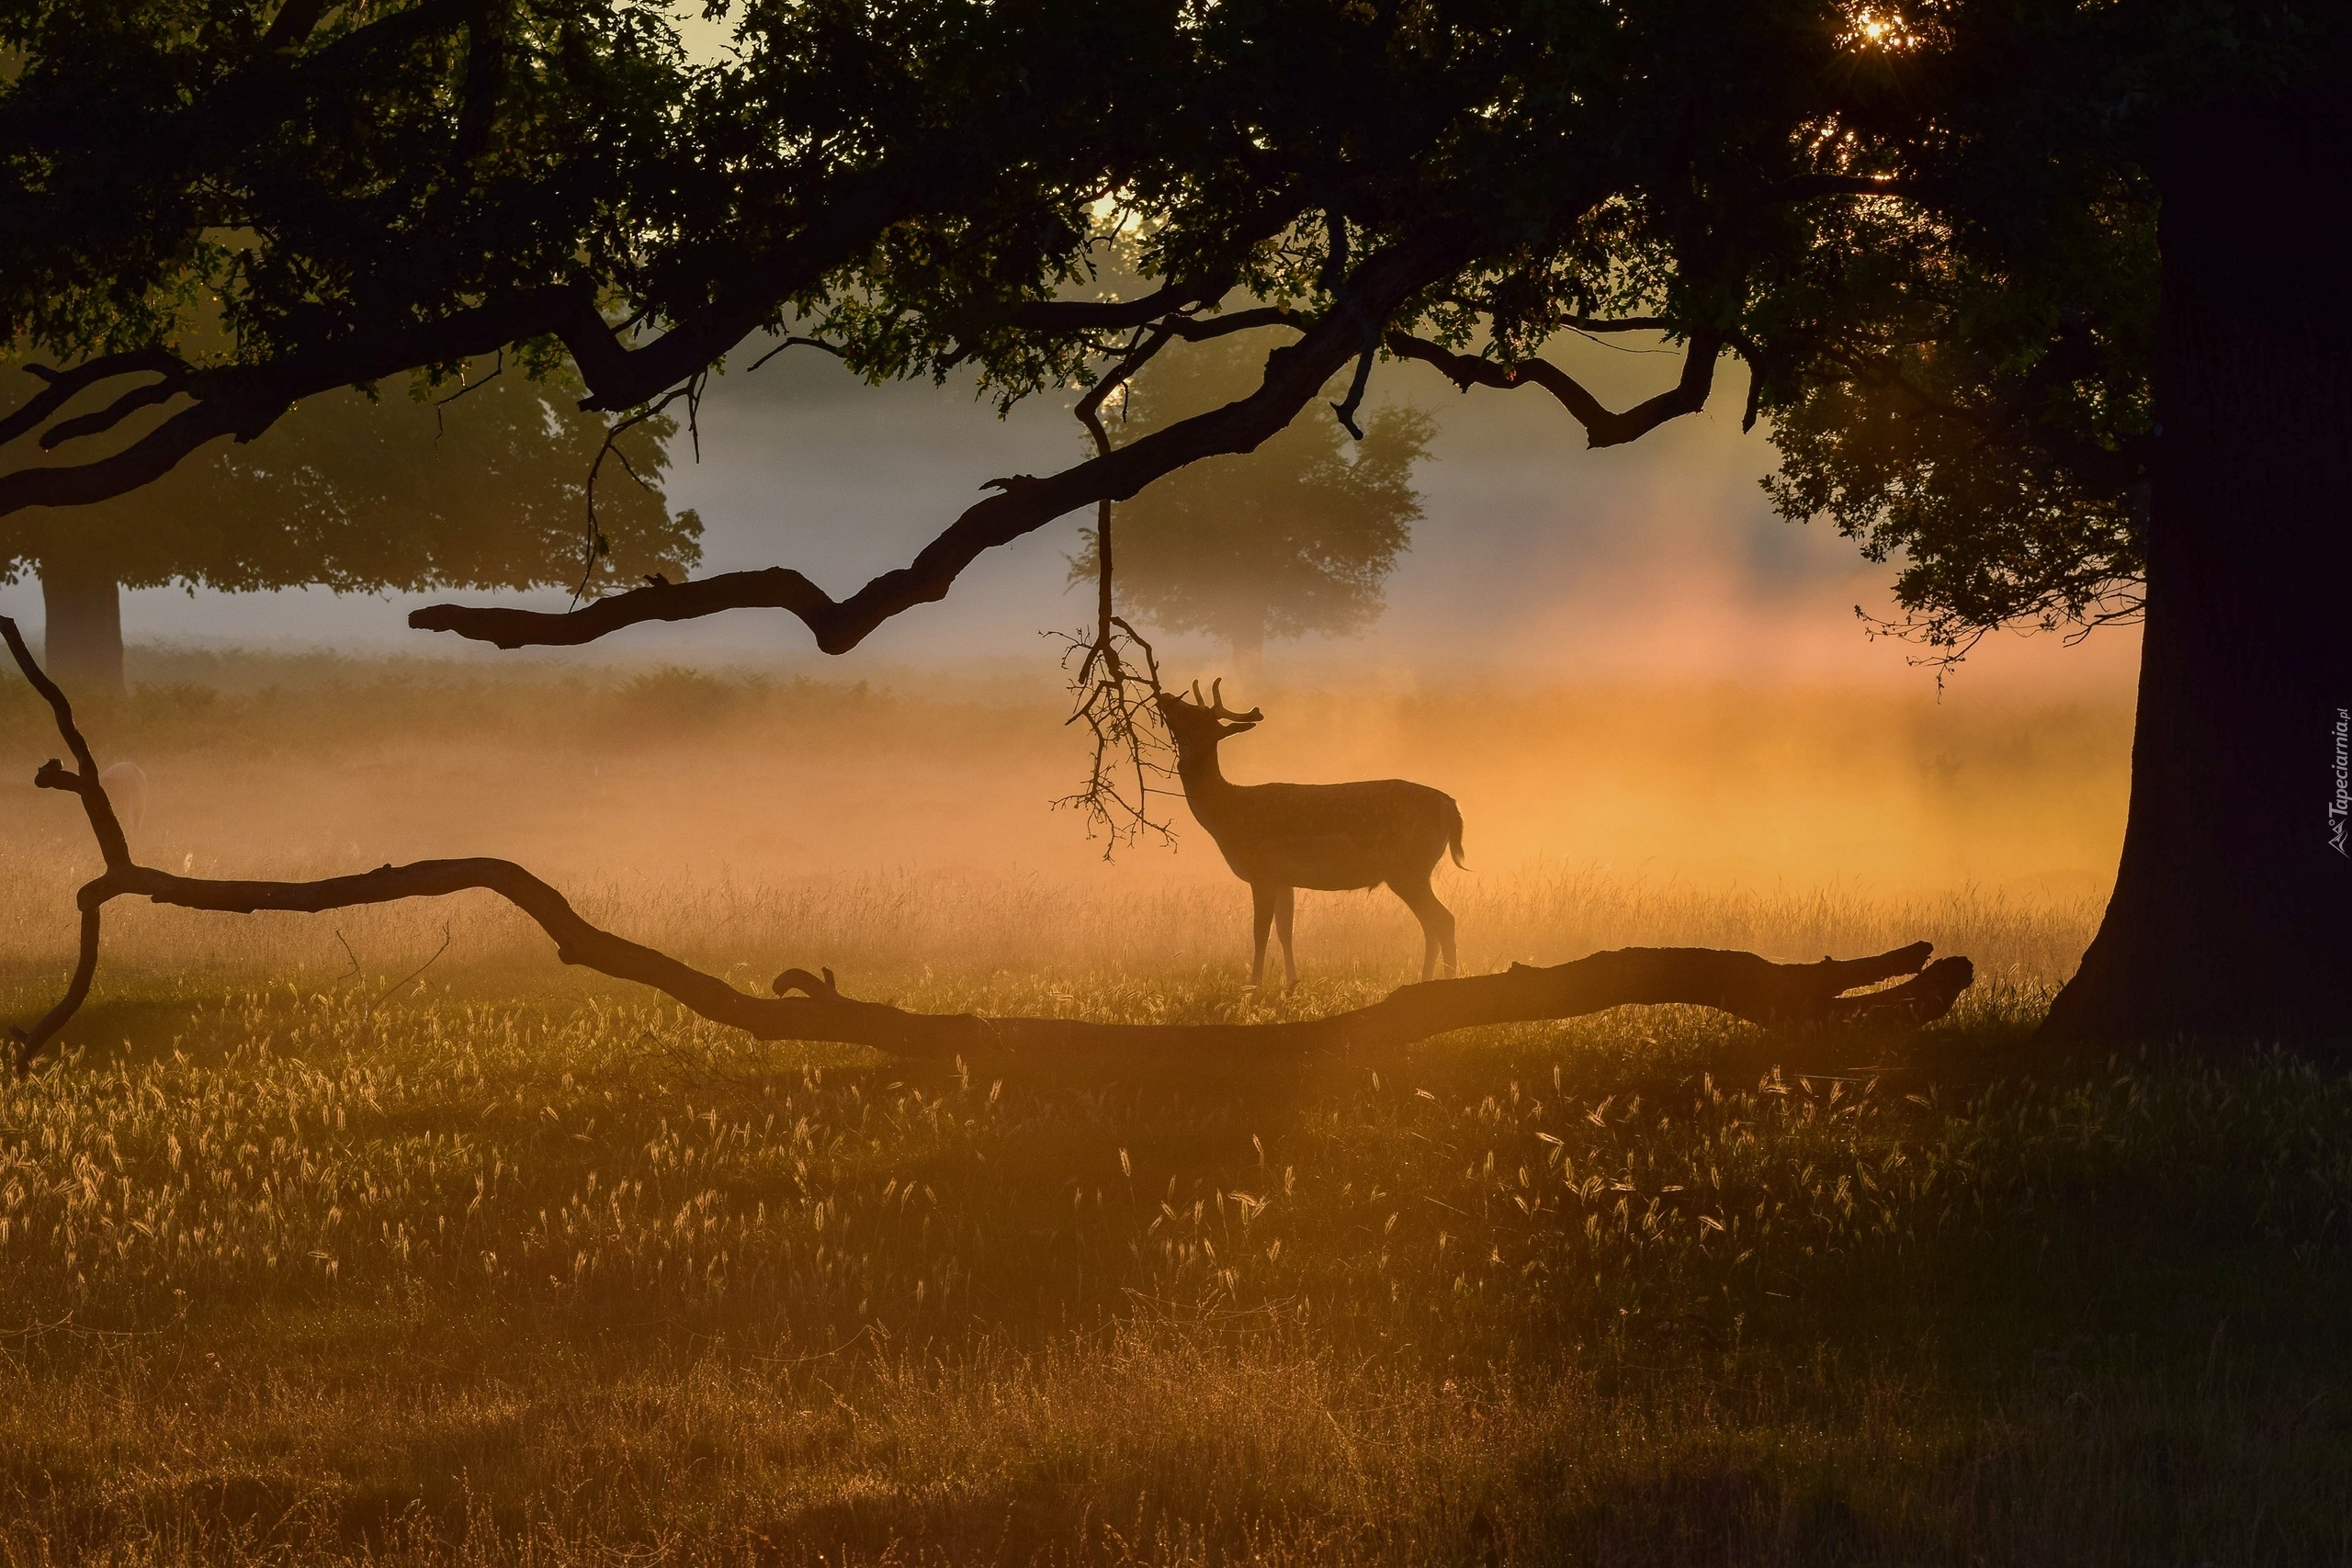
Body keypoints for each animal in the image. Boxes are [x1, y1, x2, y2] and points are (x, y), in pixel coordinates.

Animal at [1152, 682, 1458, 987]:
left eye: (1196, 716)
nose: (1164, 696)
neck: (1228, 815)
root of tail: (1451, 807)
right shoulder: (1284, 879)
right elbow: (1285, 931)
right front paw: (1291, 984)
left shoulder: (1262, 871)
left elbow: (1260, 933)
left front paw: (1254, 987)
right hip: (1412, 872)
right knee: (1431, 925)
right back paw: (1425, 980)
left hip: (1408, 868)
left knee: (1444, 920)